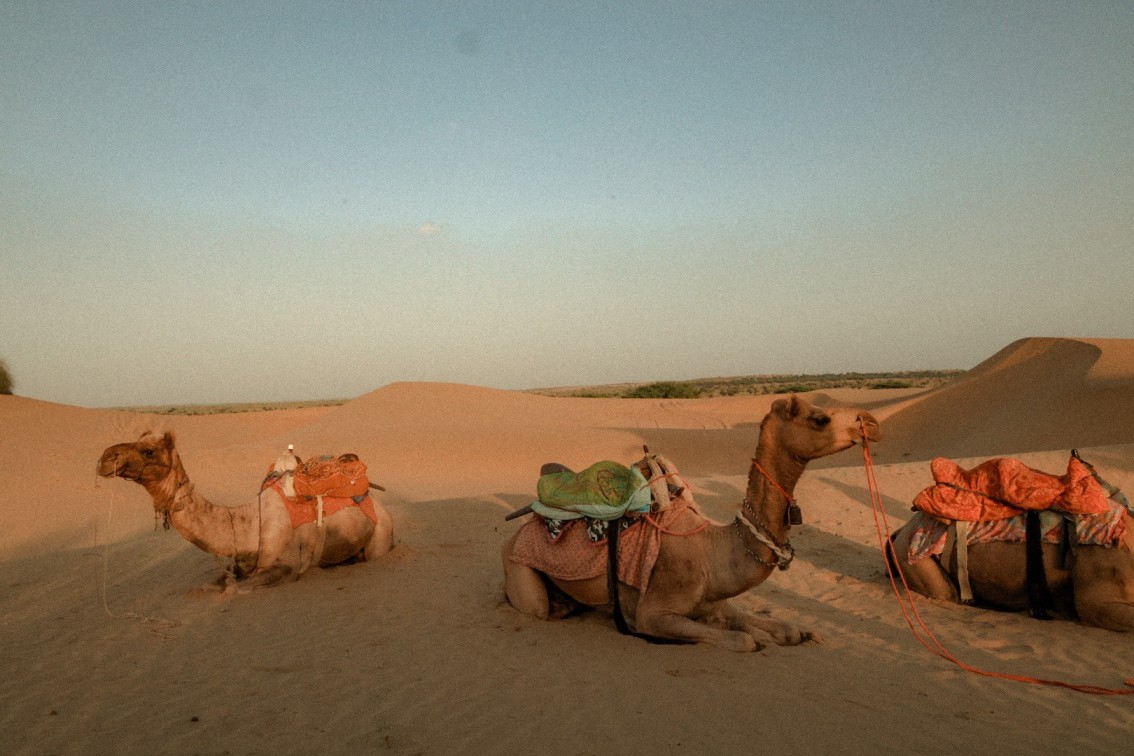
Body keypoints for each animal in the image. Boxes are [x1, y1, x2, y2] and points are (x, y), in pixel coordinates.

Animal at [97, 431, 393, 589]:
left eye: (148, 451)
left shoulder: (285, 567)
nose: (104, 458)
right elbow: (215, 585)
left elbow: (236, 591)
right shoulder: (237, 565)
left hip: (380, 534)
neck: (248, 524)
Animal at [501, 395, 882, 651]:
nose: (871, 423)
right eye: (820, 419)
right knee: (537, 606)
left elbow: (777, 628)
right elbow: (744, 641)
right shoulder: (653, 614)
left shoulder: (715, 601)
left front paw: (800, 632)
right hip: (519, 572)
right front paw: (756, 637)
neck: (712, 552)